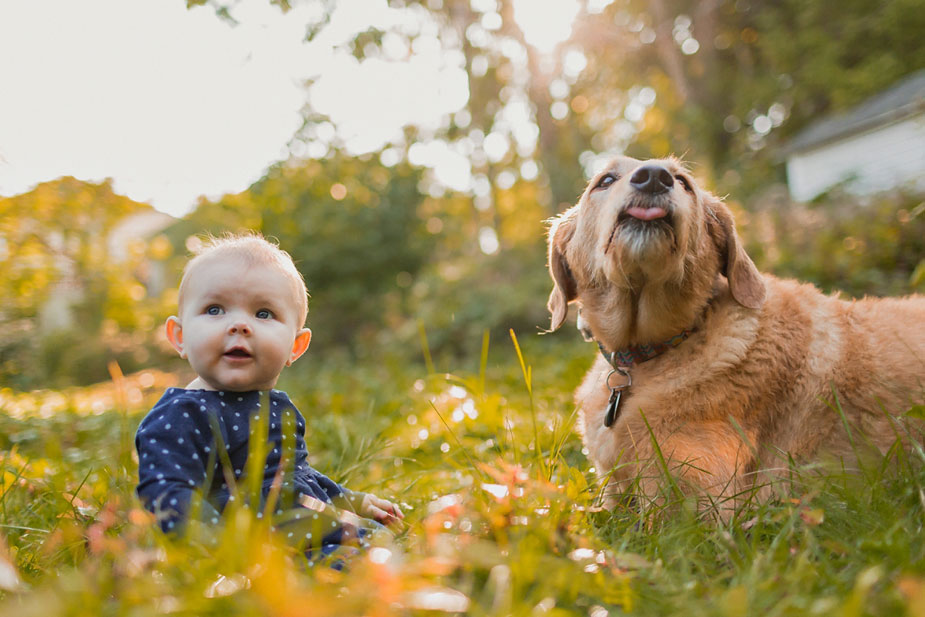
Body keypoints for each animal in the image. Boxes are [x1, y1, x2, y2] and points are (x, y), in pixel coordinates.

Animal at [544, 154, 920, 516]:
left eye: (683, 182)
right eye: (605, 180)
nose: (654, 177)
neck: (649, 353)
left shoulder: (696, 500)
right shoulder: (613, 490)